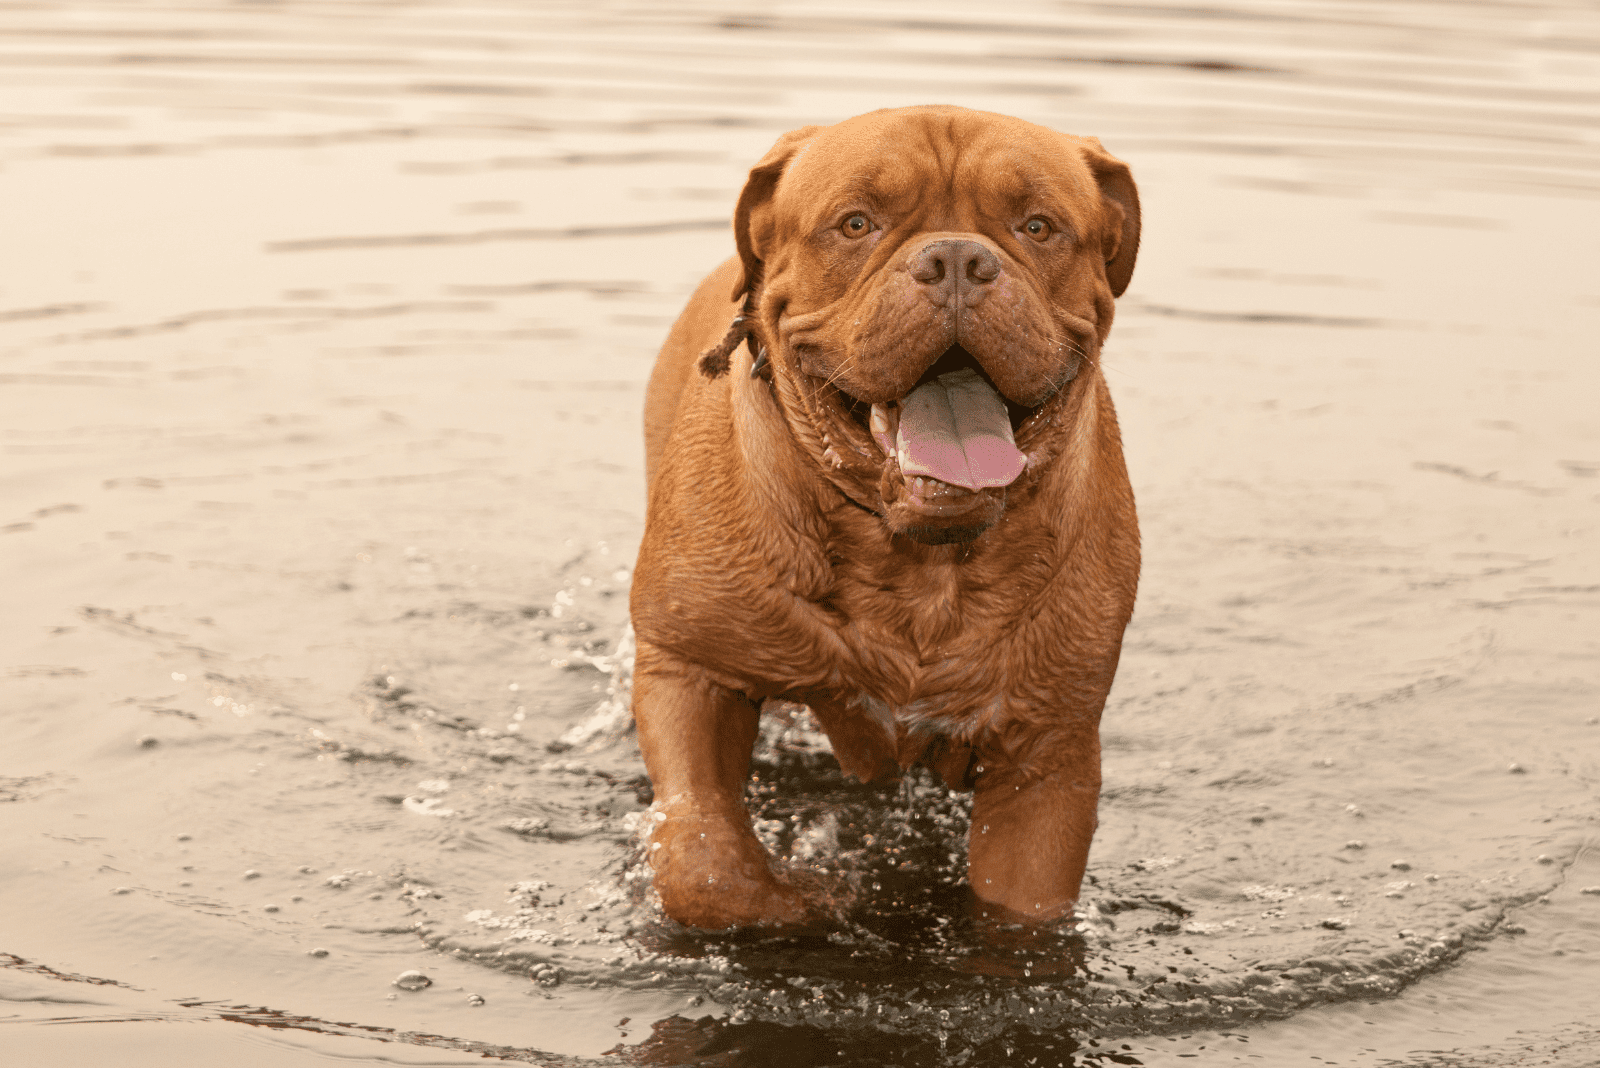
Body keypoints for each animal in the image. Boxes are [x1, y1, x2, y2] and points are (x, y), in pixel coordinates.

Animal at [624, 103, 1139, 927]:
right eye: (856, 223)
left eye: (1037, 226)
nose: (958, 259)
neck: (916, 561)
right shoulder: (690, 668)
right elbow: (706, 863)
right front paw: (806, 899)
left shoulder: (1047, 756)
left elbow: (1024, 906)